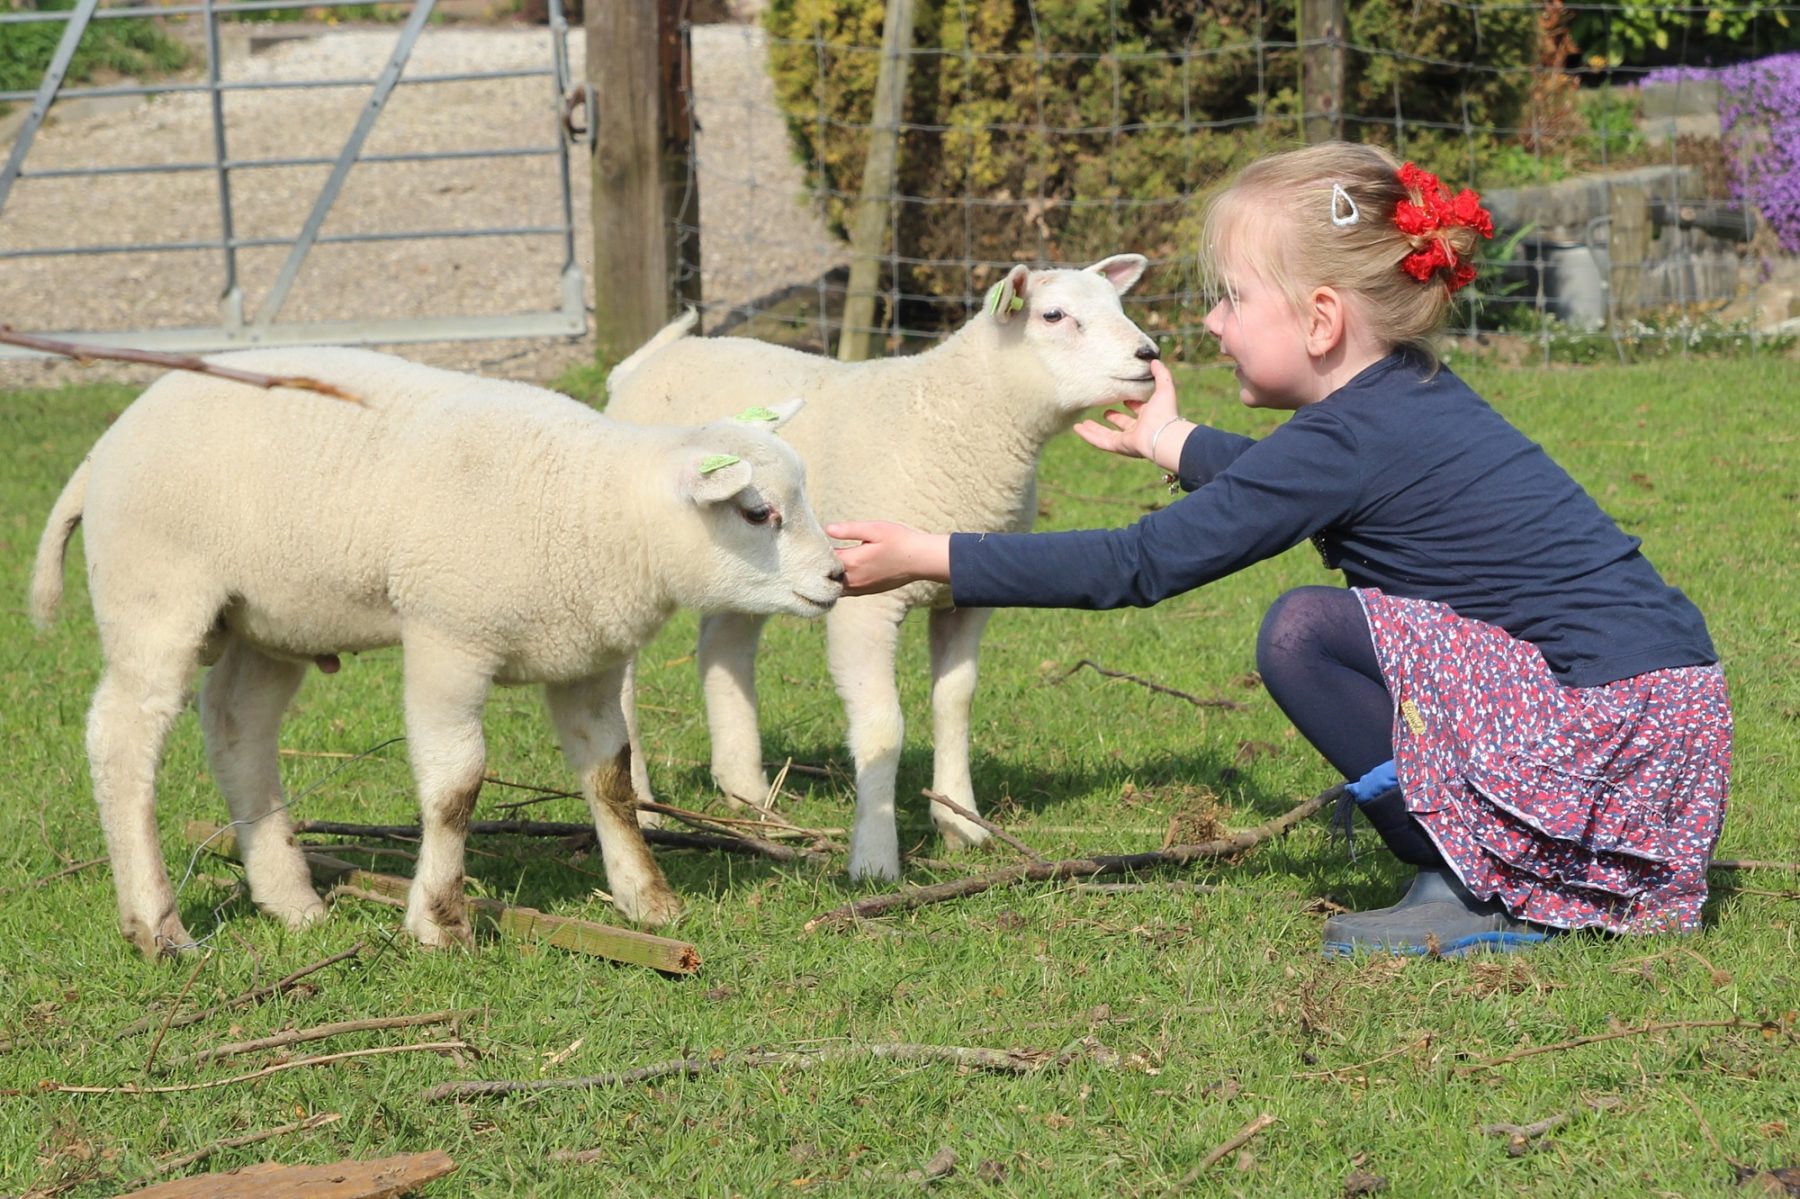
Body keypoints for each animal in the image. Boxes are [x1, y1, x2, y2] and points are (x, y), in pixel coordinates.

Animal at [29, 346, 845, 959]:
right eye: (757, 512)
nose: (838, 577)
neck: (593, 504)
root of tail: (104, 448)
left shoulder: (587, 662)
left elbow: (611, 779)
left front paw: (647, 899)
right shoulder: (447, 639)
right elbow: (456, 787)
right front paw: (440, 921)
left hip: (272, 618)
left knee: (237, 728)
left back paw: (291, 900)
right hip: (155, 595)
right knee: (121, 739)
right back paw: (156, 924)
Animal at [605, 255, 1159, 881]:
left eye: (1116, 304)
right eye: (1054, 315)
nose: (1149, 356)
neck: (958, 422)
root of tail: (642, 366)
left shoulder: (965, 596)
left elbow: (955, 702)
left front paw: (962, 823)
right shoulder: (862, 603)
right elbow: (882, 729)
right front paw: (874, 857)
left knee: (725, 649)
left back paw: (749, 795)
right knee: (626, 686)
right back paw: (644, 805)